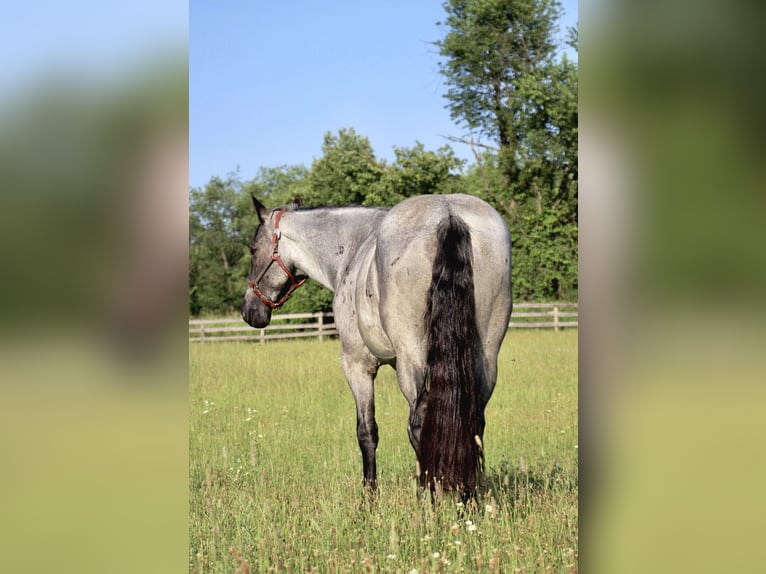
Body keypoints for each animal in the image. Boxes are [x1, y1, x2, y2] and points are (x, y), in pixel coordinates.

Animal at [243, 194, 512, 500]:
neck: (353, 248)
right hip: (485, 357)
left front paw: (369, 497)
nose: (249, 310)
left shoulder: (357, 365)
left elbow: (366, 431)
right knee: (474, 421)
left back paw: (427, 497)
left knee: (419, 422)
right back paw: (469, 498)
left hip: (412, 359)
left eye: (253, 250)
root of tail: (449, 214)